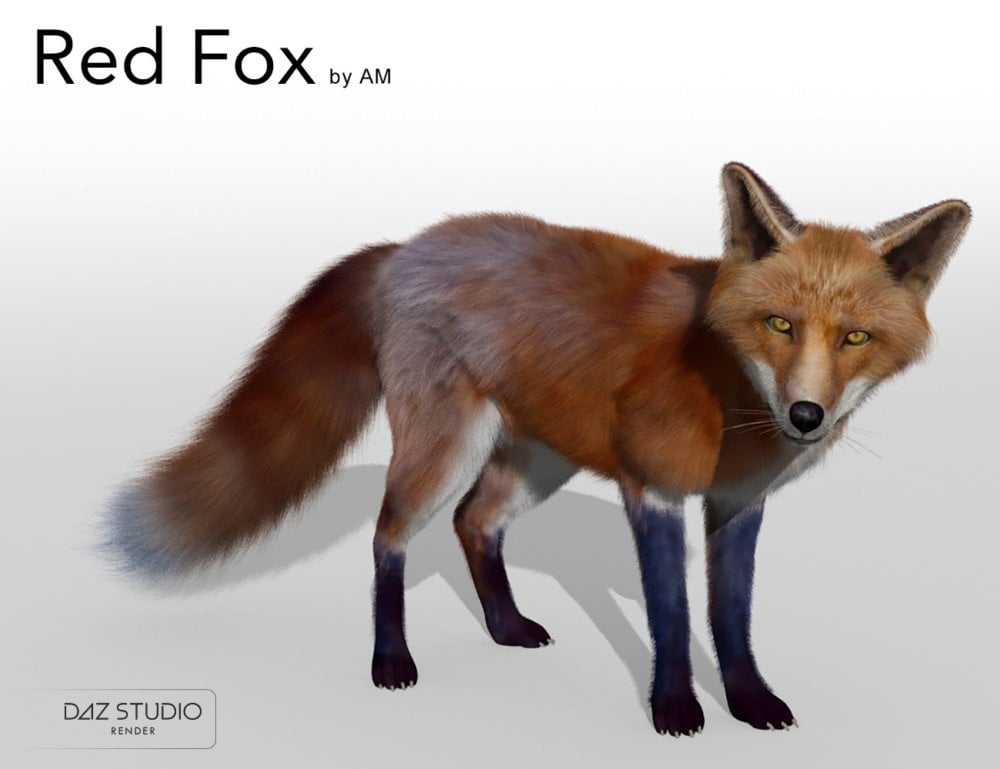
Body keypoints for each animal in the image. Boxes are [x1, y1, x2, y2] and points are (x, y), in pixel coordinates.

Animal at [104, 163, 970, 737]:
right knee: (390, 536)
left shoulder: (736, 503)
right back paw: (392, 660)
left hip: (537, 462)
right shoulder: (654, 490)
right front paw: (675, 708)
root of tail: (408, 244)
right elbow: (671, 612)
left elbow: (732, 615)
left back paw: (505, 626)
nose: (806, 416)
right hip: (444, 450)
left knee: (473, 523)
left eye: (856, 337)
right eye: (780, 324)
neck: (726, 390)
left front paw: (750, 702)